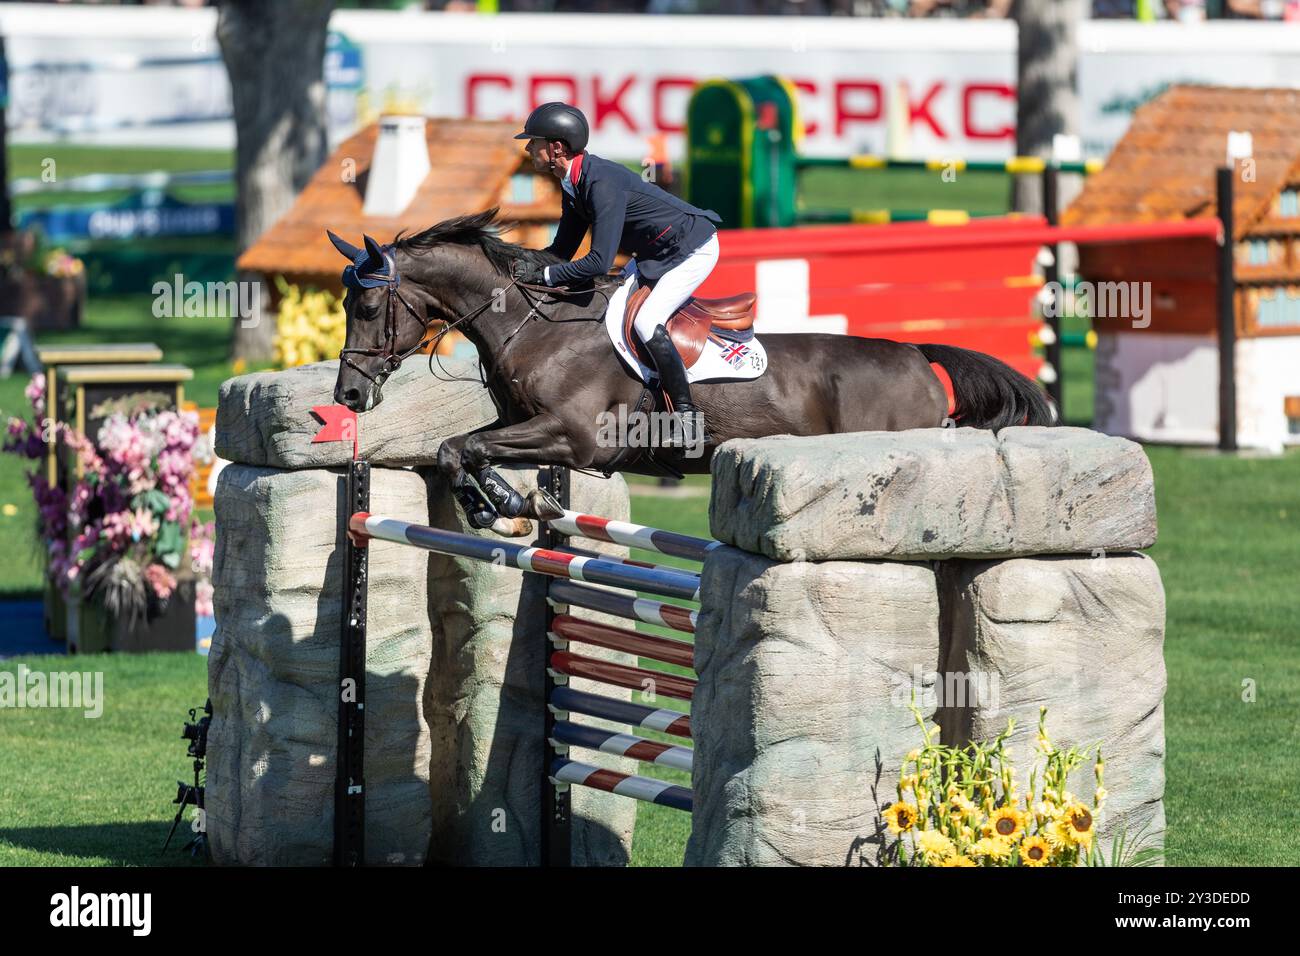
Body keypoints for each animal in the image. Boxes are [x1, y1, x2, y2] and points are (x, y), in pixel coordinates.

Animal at [327, 210, 1055, 538]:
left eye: (367, 307)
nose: (350, 394)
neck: (535, 326)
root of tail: (916, 356)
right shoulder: (527, 426)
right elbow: (465, 447)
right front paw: (511, 503)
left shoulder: (576, 438)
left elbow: (462, 446)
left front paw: (499, 506)